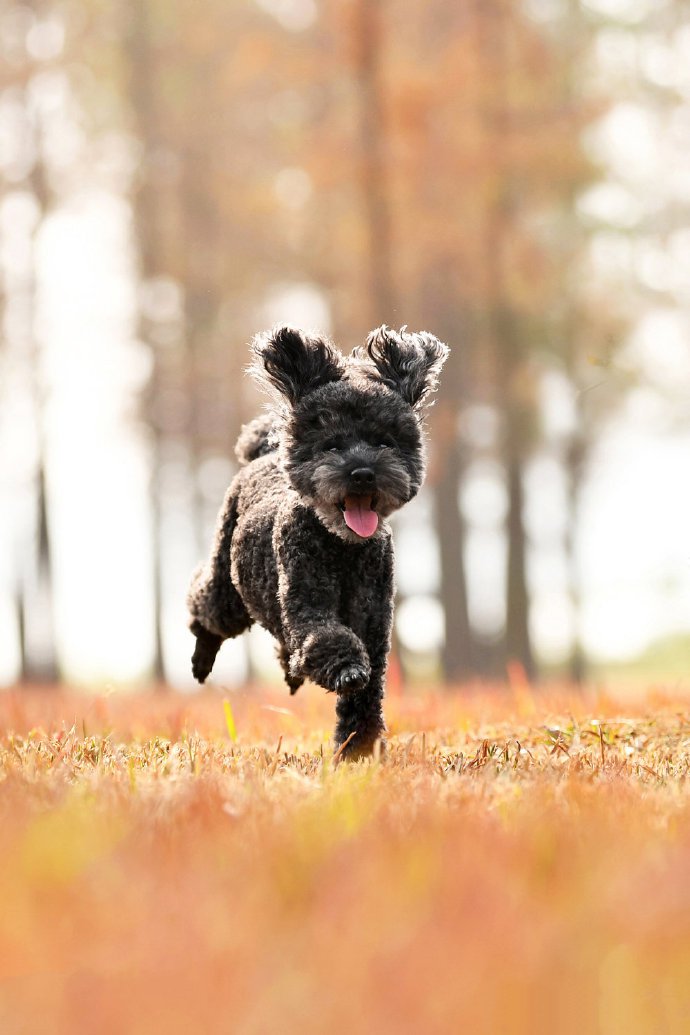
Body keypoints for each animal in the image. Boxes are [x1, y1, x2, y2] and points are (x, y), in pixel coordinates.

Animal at [187, 324, 448, 761]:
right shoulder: (307, 603)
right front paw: (347, 671)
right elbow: (327, 641)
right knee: (203, 606)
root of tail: (263, 454)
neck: (343, 550)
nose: (362, 473)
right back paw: (201, 661)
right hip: (229, 594)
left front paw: (358, 747)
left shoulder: (374, 625)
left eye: (384, 442)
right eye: (332, 445)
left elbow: (367, 696)